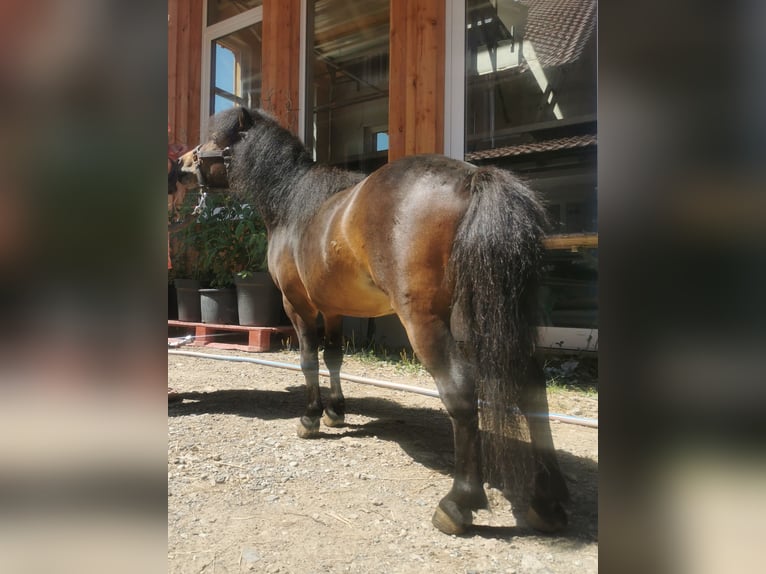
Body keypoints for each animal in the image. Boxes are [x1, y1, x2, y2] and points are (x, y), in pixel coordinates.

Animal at [177, 108, 568, 536]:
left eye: (216, 139)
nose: (181, 164)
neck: (292, 204)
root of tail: (473, 178)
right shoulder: (333, 308)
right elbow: (333, 358)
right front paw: (335, 413)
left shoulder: (297, 305)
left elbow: (308, 360)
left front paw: (311, 418)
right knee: (531, 386)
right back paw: (545, 501)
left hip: (427, 321)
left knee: (460, 391)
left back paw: (458, 503)